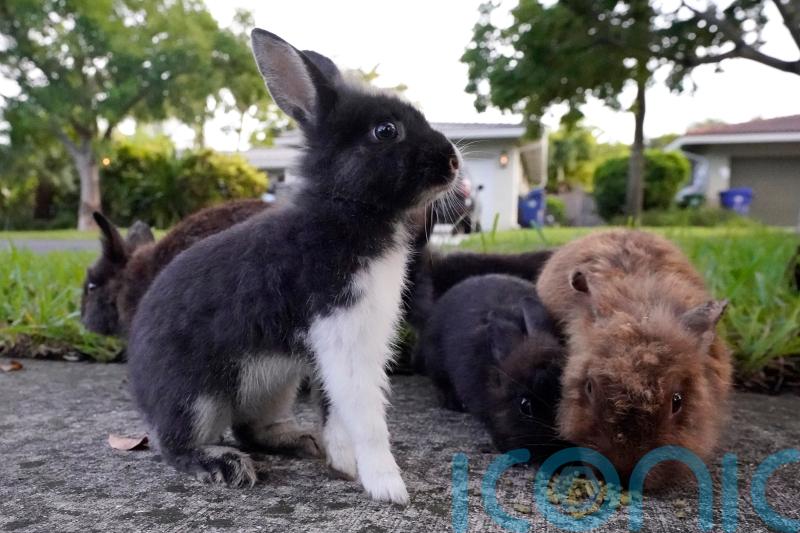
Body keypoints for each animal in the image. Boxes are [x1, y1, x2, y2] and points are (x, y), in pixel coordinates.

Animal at [125, 29, 461, 505]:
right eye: (385, 130)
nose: (453, 161)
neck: (347, 209)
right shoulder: (343, 334)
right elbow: (365, 416)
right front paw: (388, 486)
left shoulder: (334, 347)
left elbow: (336, 409)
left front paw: (342, 462)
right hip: (196, 398)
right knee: (175, 444)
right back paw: (224, 465)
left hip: (274, 385)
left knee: (249, 429)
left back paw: (302, 441)